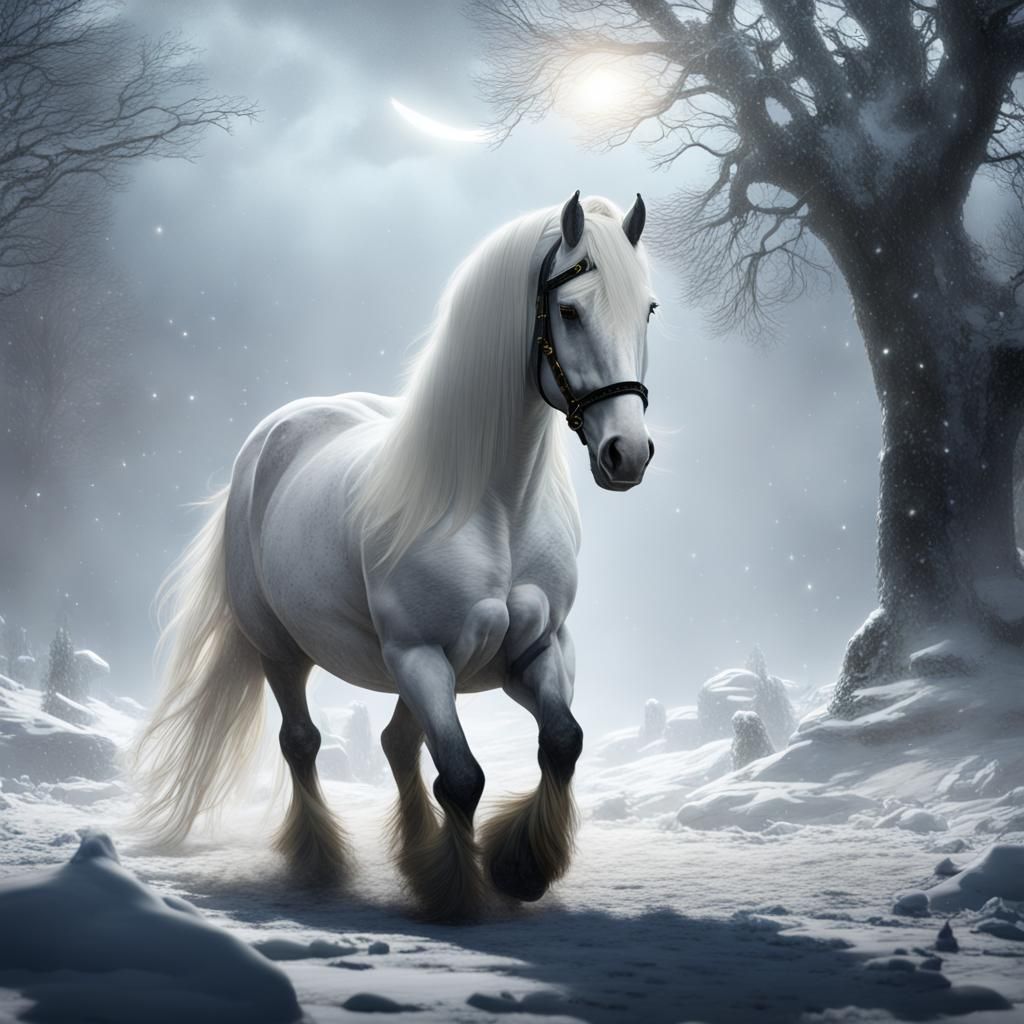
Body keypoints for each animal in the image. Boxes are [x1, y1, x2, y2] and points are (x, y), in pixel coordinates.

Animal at [130, 191, 658, 920]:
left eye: (648, 309)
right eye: (572, 310)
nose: (626, 454)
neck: (495, 505)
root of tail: (274, 434)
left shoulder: (536, 649)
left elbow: (563, 742)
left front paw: (519, 869)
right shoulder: (422, 654)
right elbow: (462, 778)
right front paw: (455, 893)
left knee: (396, 742)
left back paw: (407, 852)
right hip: (284, 649)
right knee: (303, 742)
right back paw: (321, 865)